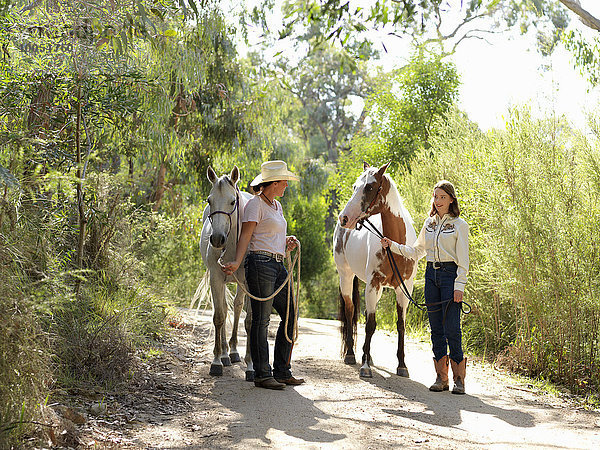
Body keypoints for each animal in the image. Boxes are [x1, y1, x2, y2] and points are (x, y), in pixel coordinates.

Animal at [197, 167, 253, 378]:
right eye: (209, 200)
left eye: (232, 201)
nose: (217, 239)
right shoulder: (216, 278)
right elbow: (219, 316)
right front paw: (216, 361)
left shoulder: (249, 283)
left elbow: (250, 321)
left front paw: (251, 364)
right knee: (223, 308)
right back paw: (225, 354)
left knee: (236, 308)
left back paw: (234, 351)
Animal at [332, 163, 418, 378]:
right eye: (354, 186)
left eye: (369, 187)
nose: (344, 217)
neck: (395, 245)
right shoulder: (373, 284)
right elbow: (371, 324)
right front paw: (365, 367)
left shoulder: (404, 289)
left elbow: (401, 325)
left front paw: (402, 365)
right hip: (346, 278)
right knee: (350, 311)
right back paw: (351, 354)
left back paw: (367, 355)